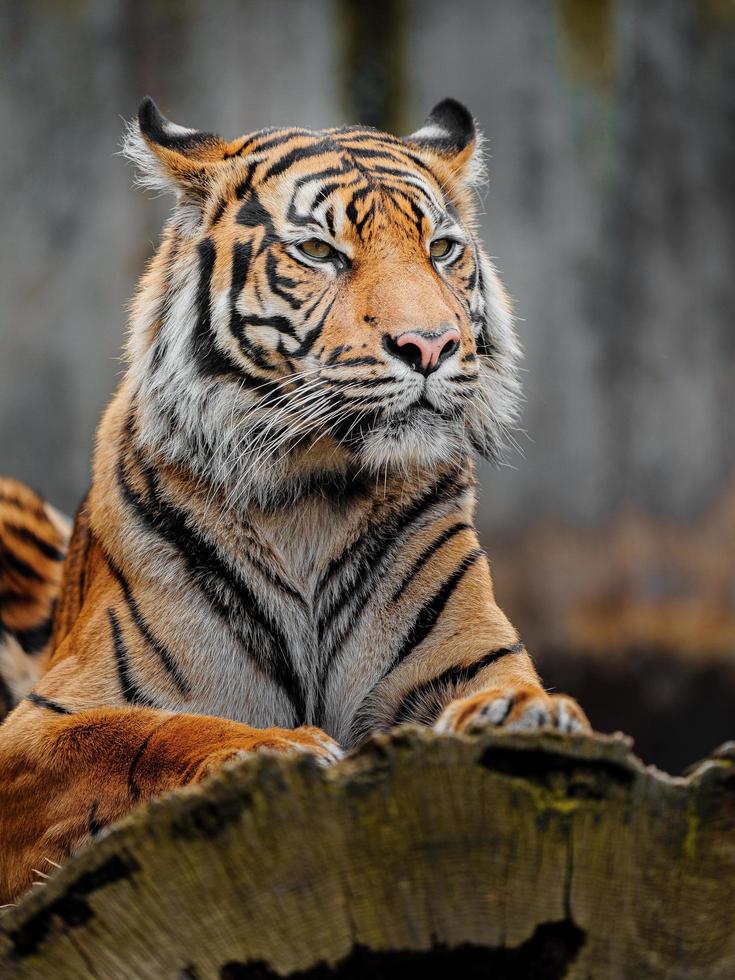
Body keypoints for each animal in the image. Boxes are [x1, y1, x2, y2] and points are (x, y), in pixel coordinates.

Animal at [0, 95, 592, 900]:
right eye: (318, 251)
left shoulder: (465, 658)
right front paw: (279, 746)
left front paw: (526, 715)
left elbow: (511, 690)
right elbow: (136, 733)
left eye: (441, 248)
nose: (431, 345)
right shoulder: (35, 729)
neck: (309, 494)